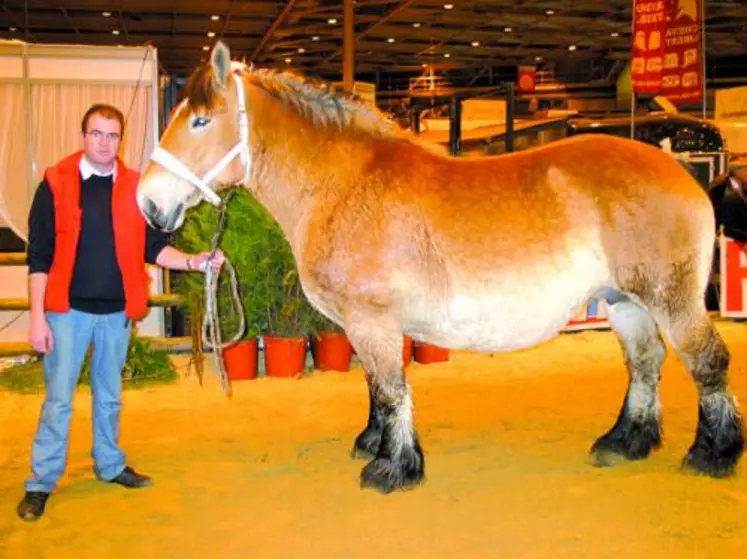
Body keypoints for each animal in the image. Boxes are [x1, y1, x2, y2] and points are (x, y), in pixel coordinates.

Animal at [137, 41, 744, 492]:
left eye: (199, 121)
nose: (148, 203)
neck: (344, 182)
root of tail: (684, 173)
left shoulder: (372, 320)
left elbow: (390, 390)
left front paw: (392, 467)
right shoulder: (366, 324)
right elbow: (376, 387)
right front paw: (375, 443)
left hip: (671, 299)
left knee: (707, 362)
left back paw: (712, 454)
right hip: (625, 303)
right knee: (645, 364)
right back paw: (624, 442)